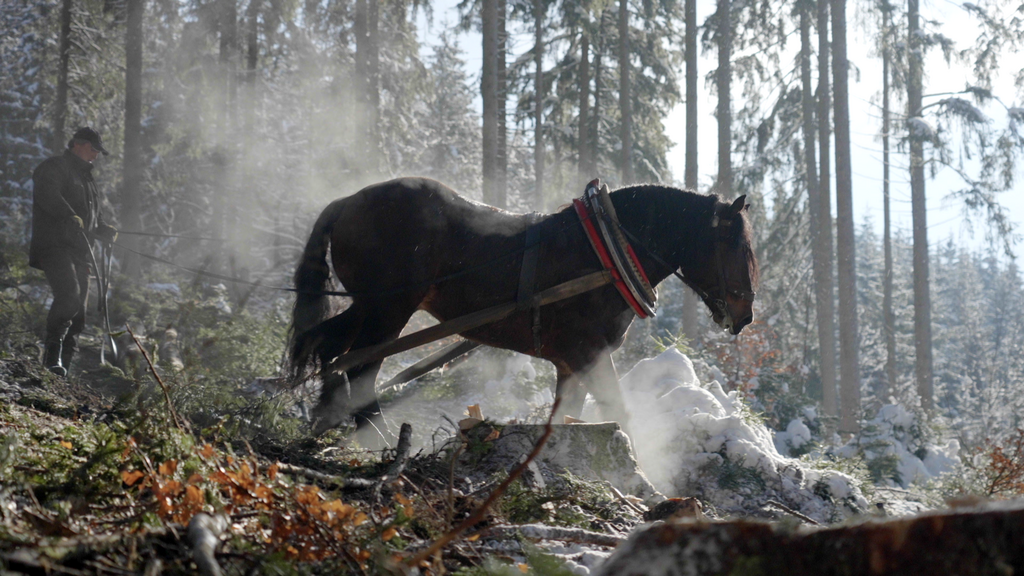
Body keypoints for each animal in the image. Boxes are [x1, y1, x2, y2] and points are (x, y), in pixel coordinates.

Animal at [288, 178, 761, 438]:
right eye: (737, 245)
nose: (745, 315)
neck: (607, 251)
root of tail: (348, 202)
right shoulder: (587, 352)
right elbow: (617, 411)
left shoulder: (572, 363)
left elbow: (569, 416)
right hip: (389, 308)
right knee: (359, 366)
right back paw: (378, 436)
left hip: (368, 306)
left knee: (328, 346)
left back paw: (327, 416)